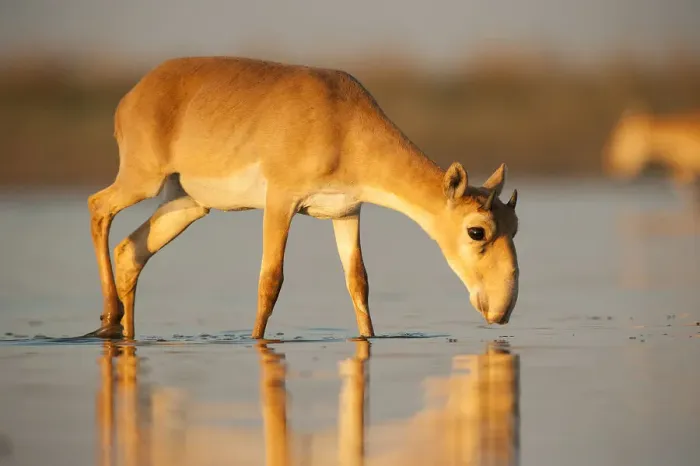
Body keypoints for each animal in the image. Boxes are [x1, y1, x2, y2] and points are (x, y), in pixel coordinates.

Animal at [86, 56, 520, 340]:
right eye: (477, 231)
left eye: (515, 226)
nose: (504, 309)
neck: (343, 123)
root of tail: (132, 96)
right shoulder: (281, 202)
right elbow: (270, 279)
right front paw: (257, 340)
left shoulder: (347, 213)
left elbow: (358, 281)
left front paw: (369, 338)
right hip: (143, 181)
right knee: (97, 207)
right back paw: (109, 317)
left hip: (187, 204)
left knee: (130, 252)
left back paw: (122, 334)